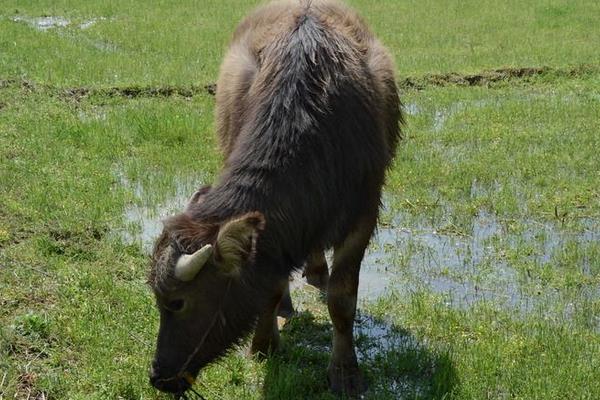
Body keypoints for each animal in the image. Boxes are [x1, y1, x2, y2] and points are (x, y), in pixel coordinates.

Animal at [148, 0, 404, 394]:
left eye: (177, 302)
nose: (159, 376)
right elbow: (269, 285)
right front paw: (264, 343)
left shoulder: (363, 215)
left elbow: (342, 299)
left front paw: (345, 371)